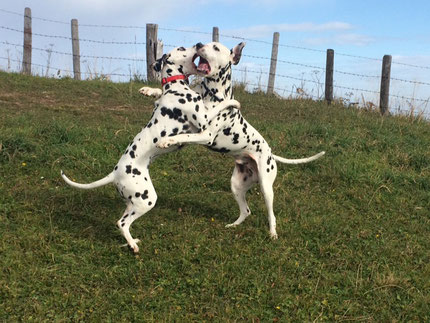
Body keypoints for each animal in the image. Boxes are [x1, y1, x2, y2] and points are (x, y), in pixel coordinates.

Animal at [60, 45, 240, 253]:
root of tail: (115, 173)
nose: (198, 43)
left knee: (122, 221)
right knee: (122, 223)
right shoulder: (204, 120)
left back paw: (131, 241)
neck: (174, 86)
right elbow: (220, 105)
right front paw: (233, 103)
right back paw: (132, 246)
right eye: (181, 48)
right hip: (147, 199)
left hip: (133, 202)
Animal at [139, 41, 324, 240]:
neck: (210, 94)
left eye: (215, 47)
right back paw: (233, 225)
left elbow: (184, 135)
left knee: (271, 214)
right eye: (206, 43)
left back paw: (272, 233)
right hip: (236, 185)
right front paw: (150, 90)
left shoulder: (206, 134)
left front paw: (166, 141)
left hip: (266, 187)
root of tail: (270, 153)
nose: (199, 44)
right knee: (246, 211)